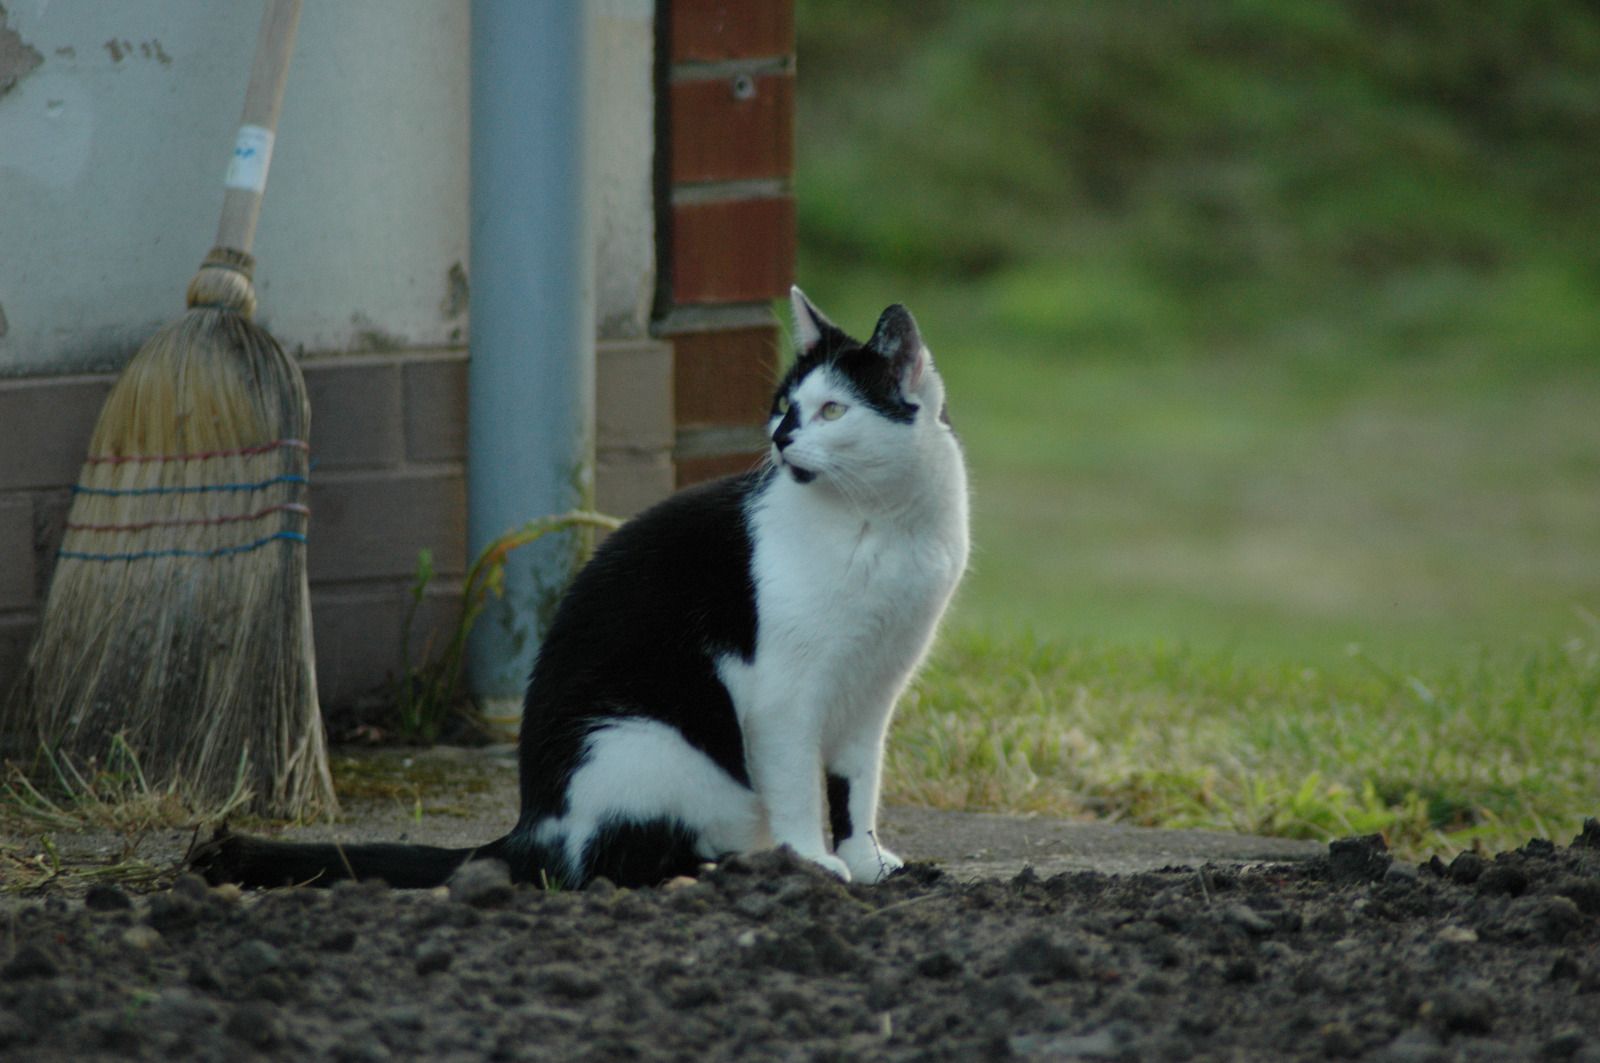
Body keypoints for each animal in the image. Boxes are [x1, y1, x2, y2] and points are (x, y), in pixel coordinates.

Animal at [204, 288, 966, 890]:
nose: (780, 437)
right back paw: (725, 867)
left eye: (832, 410)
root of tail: (530, 821)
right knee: (607, 859)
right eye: (784, 405)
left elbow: (856, 789)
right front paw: (812, 861)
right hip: (647, 744)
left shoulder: (872, 693)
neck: (880, 525)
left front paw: (868, 864)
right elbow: (798, 789)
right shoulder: (782, 696)